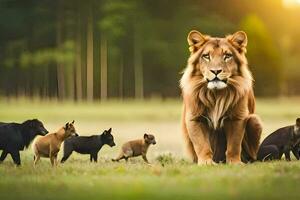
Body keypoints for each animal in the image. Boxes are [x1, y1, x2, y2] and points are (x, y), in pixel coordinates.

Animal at [180, 30, 262, 164]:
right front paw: (206, 163)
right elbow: (201, 144)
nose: (216, 71)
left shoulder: (237, 117)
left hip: (255, 120)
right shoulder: (195, 118)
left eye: (227, 56)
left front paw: (235, 163)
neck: (216, 95)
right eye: (206, 56)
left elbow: (234, 144)